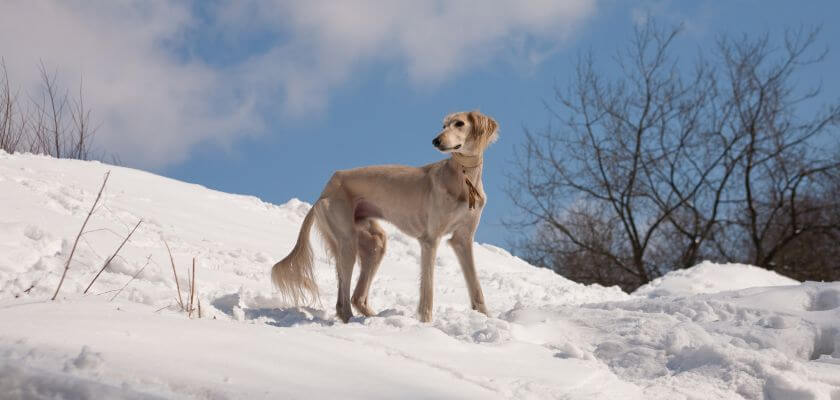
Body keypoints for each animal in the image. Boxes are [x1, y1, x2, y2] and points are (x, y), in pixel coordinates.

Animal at [272, 109, 498, 322]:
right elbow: (428, 290)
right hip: (346, 241)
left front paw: (486, 317)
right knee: (342, 301)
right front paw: (426, 323)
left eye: (459, 123)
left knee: (357, 296)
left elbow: (476, 286)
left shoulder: (462, 239)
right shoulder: (430, 240)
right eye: (444, 125)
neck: (463, 179)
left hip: (374, 242)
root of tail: (324, 191)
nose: (436, 141)